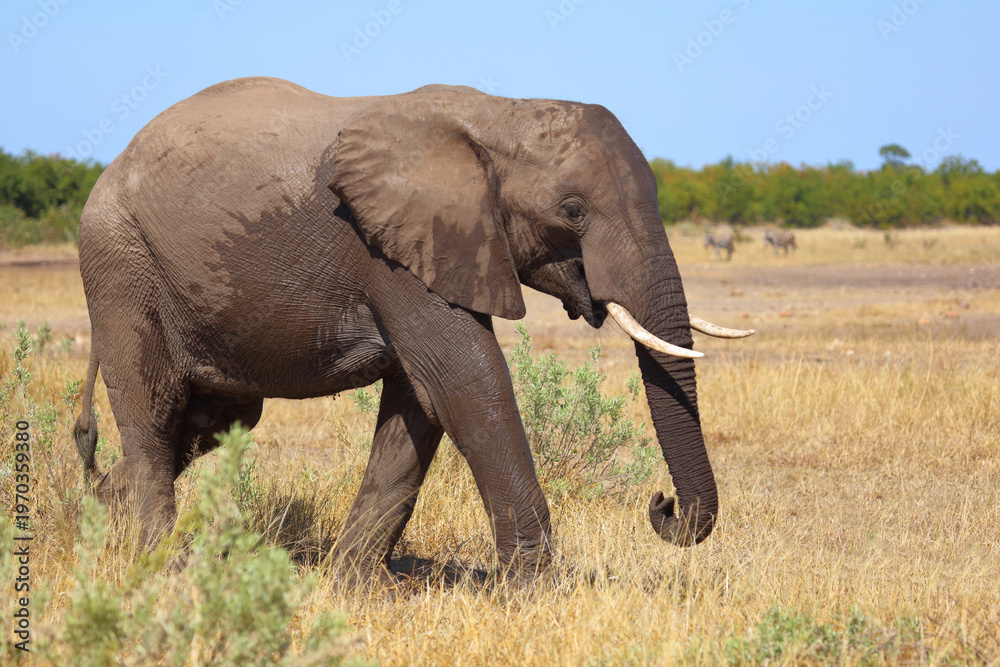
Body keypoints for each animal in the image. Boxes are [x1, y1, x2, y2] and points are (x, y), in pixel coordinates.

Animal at [72, 77, 753, 587]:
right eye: (573, 211)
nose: (661, 504)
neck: (499, 114)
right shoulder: (389, 248)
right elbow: (466, 381)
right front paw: (532, 593)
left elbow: (419, 403)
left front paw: (351, 586)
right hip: (119, 262)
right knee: (153, 412)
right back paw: (160, 568)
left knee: (210, 420)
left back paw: (97, 515)